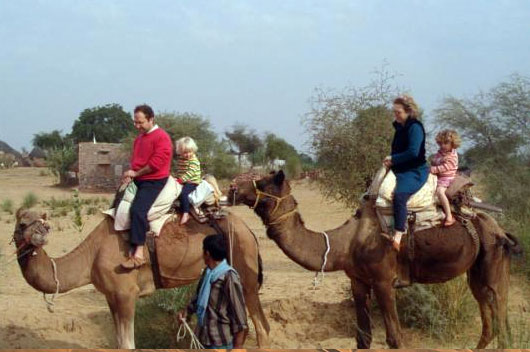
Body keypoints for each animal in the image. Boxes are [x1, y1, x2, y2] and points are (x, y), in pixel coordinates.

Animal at [12, 208, 268, 348]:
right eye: (22, 223)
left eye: (45, 223)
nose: (41, 234)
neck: (92, 255)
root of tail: (249, 230)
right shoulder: (111, 296)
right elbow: (118, 342)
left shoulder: (126, 293)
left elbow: (128, 344)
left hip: (244, 267)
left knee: (261, 327)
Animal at [229, 170, 516, 350]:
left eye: (262, 184)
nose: (232, 189)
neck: (344, 244)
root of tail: (498, 228)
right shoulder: (358, 281)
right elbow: (363, 338)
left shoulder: (383, 281)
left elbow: (395, 338)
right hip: (475, 272)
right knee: (488, 315)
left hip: (493, 262)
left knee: (500, 309)